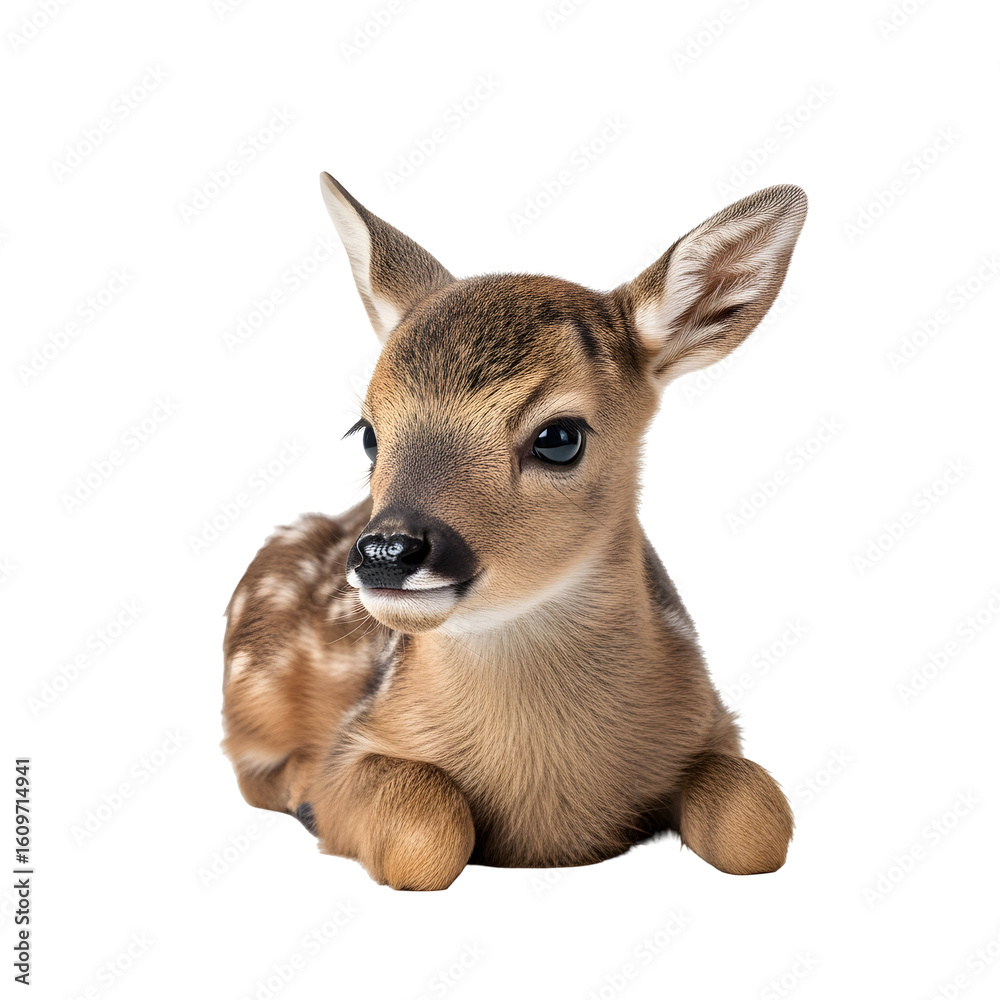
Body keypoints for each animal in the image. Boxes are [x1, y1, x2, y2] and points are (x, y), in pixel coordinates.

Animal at [220, 172, 807, 890]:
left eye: (559, 438)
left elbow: (757, 824)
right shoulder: (356, 740)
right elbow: (426, 834)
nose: (386, 550)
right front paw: (315, 805)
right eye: (367, 433)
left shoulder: (716, 722)